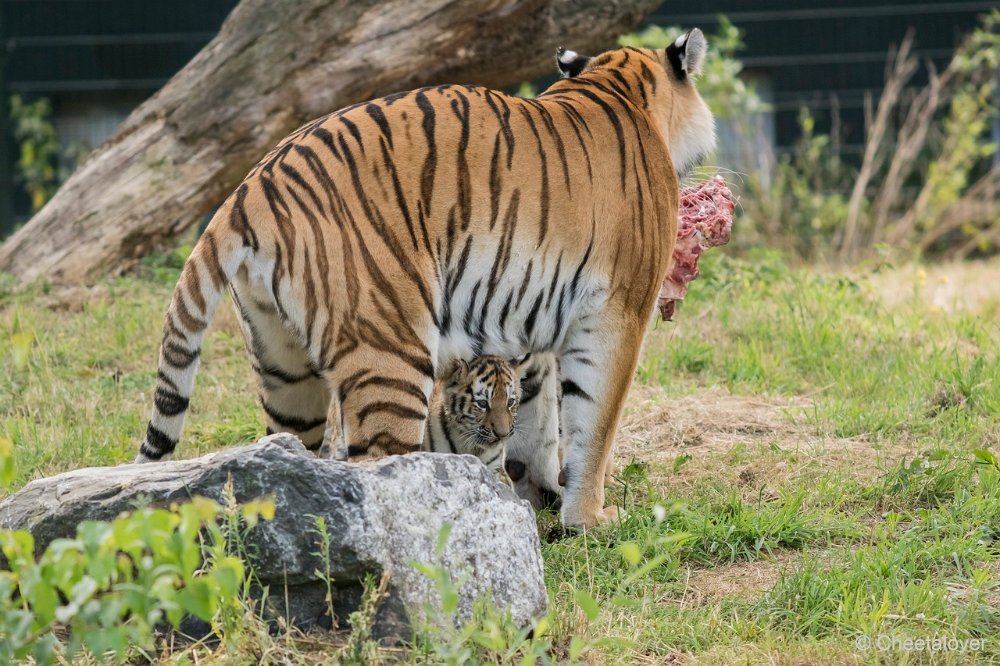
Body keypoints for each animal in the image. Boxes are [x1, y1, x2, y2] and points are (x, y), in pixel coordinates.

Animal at [137, 31, 716, 528]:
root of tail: (249, 189)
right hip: (390, 352)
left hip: (285, 371)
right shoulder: (618, 311)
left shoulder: (536, 327)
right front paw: (589, 518)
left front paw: (543, 492)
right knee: (380, 470)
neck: (619, 88)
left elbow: (537, 416)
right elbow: (593, 423)